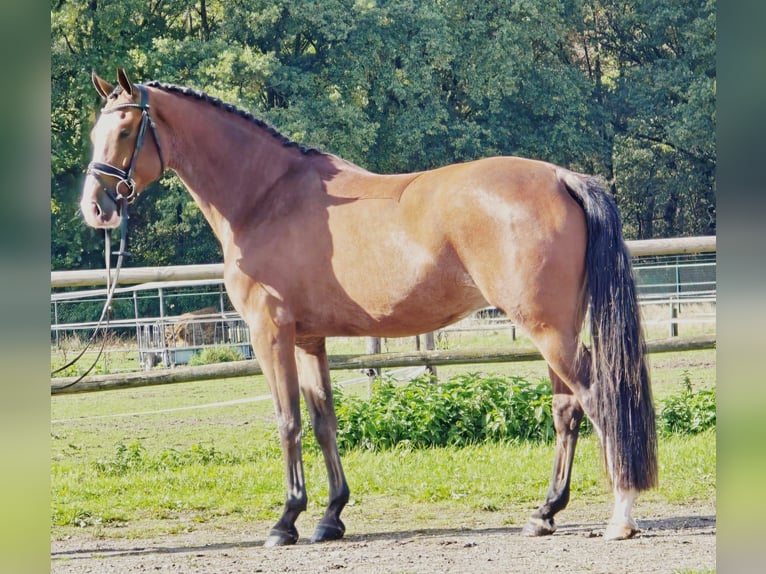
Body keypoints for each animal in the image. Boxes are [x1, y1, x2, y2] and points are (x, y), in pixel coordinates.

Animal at [80, 68, 657, 546]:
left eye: (127, 130)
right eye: (95, 133)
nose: (96, 208)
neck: (265, 196)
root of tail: (561, 177)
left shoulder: (271, 333)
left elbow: (287, 420)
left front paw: (285, 521)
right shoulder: (308, 339)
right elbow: (322, 421)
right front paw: (330, 517)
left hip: (546, 329)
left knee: (598, 398)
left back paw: (621, 515)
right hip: (556, 329)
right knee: (567, 410)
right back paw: (544, 513)